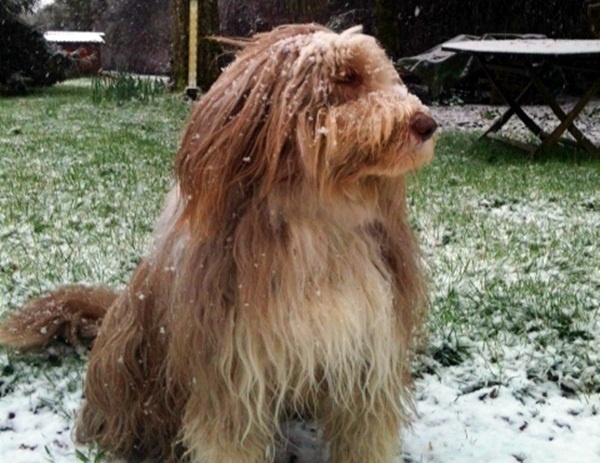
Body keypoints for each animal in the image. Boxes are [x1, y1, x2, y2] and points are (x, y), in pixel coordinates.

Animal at [2, 24, 438, 463]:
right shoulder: (233, 375)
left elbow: (364, 431)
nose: (428, 124)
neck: (318, 218)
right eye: (346, 76)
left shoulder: (367, 357)